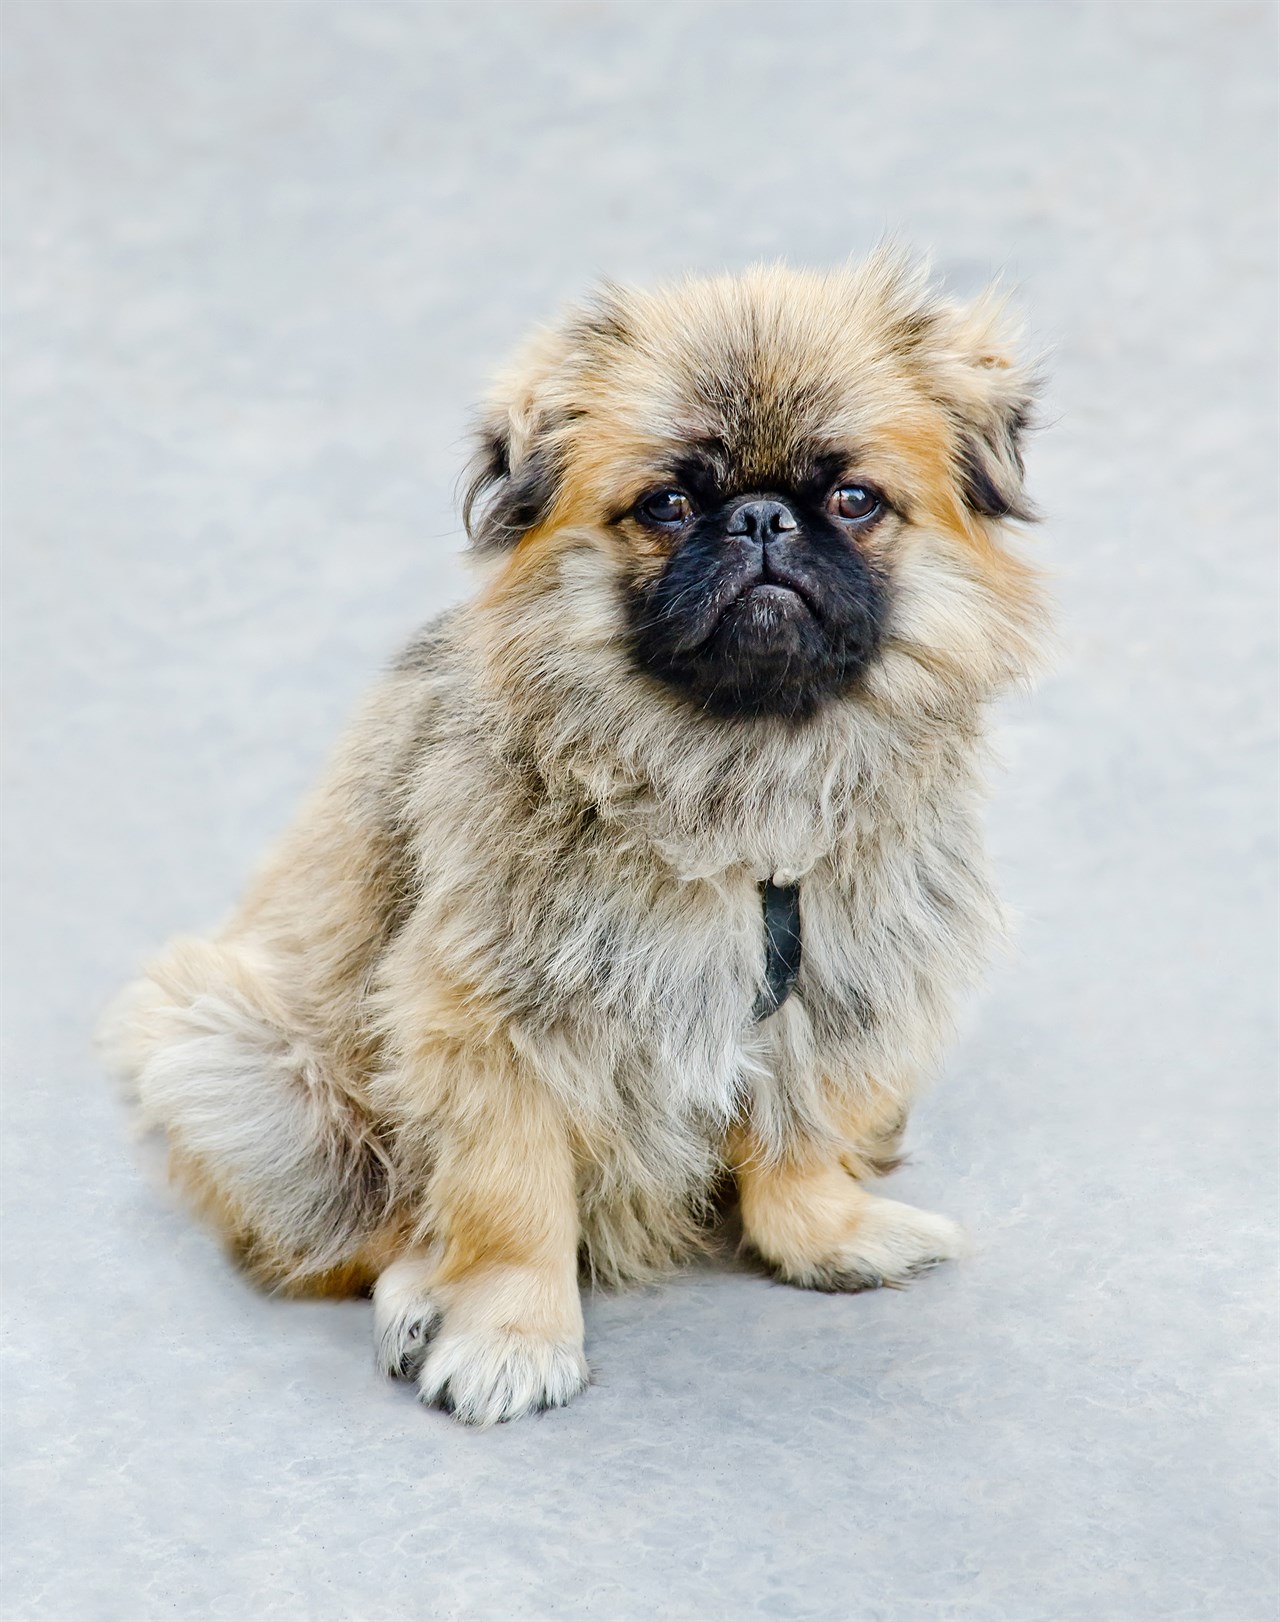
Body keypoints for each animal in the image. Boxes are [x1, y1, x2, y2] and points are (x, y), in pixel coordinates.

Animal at [102, 249, 1051, 1420]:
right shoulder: (489, 1029)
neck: (737, 776)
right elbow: (511, 1201)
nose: (761, 522)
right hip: (240, 1065)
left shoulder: (837, 998)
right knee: (373, 1229)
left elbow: (798, 1140)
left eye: (852, 499)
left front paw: (823, 1236)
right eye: (670, 504)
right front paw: (510, 1335)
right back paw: (420, 1293)